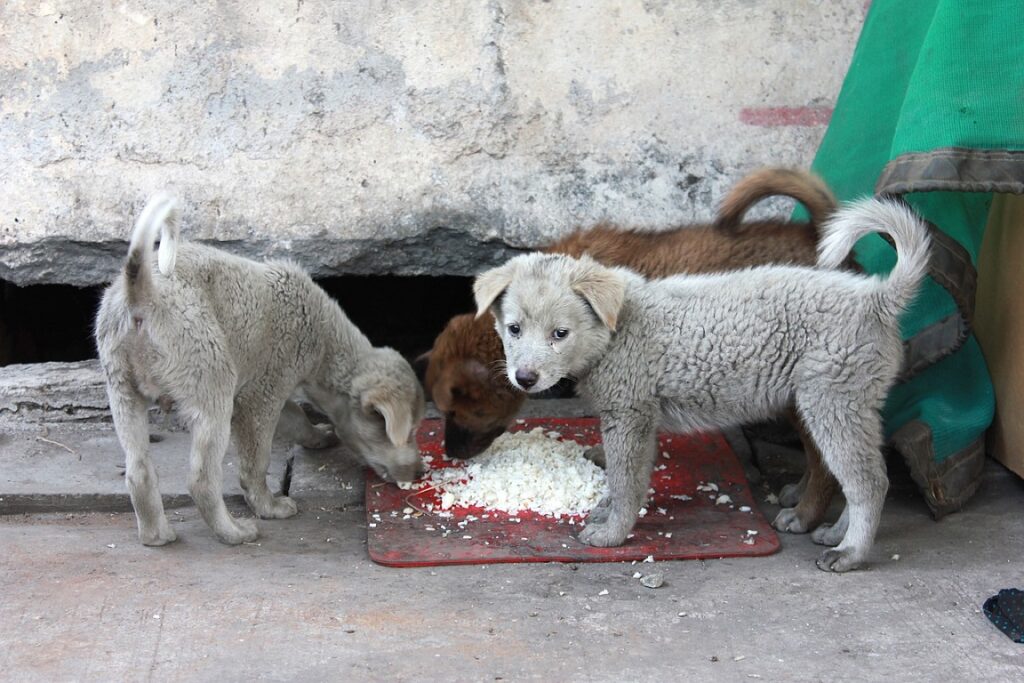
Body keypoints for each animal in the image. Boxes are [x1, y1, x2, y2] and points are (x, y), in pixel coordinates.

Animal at [97, 194, 425, 548]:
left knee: (138, 471)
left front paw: (319, 436)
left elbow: (297, 419)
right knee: (202, 480)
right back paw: (235, 532)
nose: (421, 473)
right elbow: (257, 462)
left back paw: (157, 535)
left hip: (122, 389)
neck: (323, 339)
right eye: (405, 431)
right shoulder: (261, 395)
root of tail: (141, 294)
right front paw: (269, 506)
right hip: (211, 381)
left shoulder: (266, 388)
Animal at [423, 167, 839, 532]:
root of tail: (815, 234)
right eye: (444, 411)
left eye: (472, 411)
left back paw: (806, 513)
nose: (451, 453)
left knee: (825, 461)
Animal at [475, 197, 933, 573]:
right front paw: (606, 512)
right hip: (853, 405)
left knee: (867, 482)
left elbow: (625, 482)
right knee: (864, 474)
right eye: (514, 329)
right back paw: (837, 532)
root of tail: (876, 298)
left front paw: (611, 534)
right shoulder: (640, 418)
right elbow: (627, 480)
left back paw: (849, 552)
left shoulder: (629, 415)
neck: (618, 328)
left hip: (832, 402)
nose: (525, 378)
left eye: (560, 334)